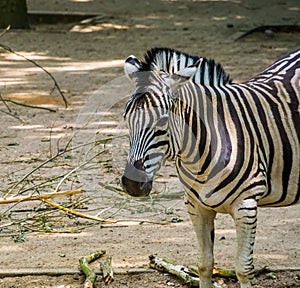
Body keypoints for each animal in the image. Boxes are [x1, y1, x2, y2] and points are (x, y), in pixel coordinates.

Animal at [120, 47, 298, 288]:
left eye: (162, 122)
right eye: (126, 119)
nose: (131, 184)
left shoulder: (246, 206)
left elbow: (243, 269)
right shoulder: (197, 207)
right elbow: (204, 264)